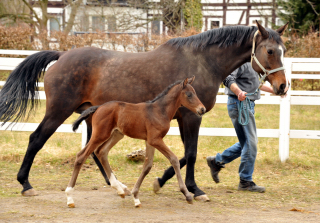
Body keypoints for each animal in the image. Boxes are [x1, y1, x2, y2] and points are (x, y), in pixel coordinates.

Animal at [66, 76, 206, 207]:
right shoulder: (155, 139)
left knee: (102, 152)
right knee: (82, 156)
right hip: (100, 134)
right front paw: (187, 195)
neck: (160, 111)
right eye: (189, 94)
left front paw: (136, 197)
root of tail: (98, 107)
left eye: (195, 93)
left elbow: (147, 166)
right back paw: (69, 197)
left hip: (117, 134)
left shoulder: (150, 141)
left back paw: (120, 190)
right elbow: (174, 159)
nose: (202, 109)